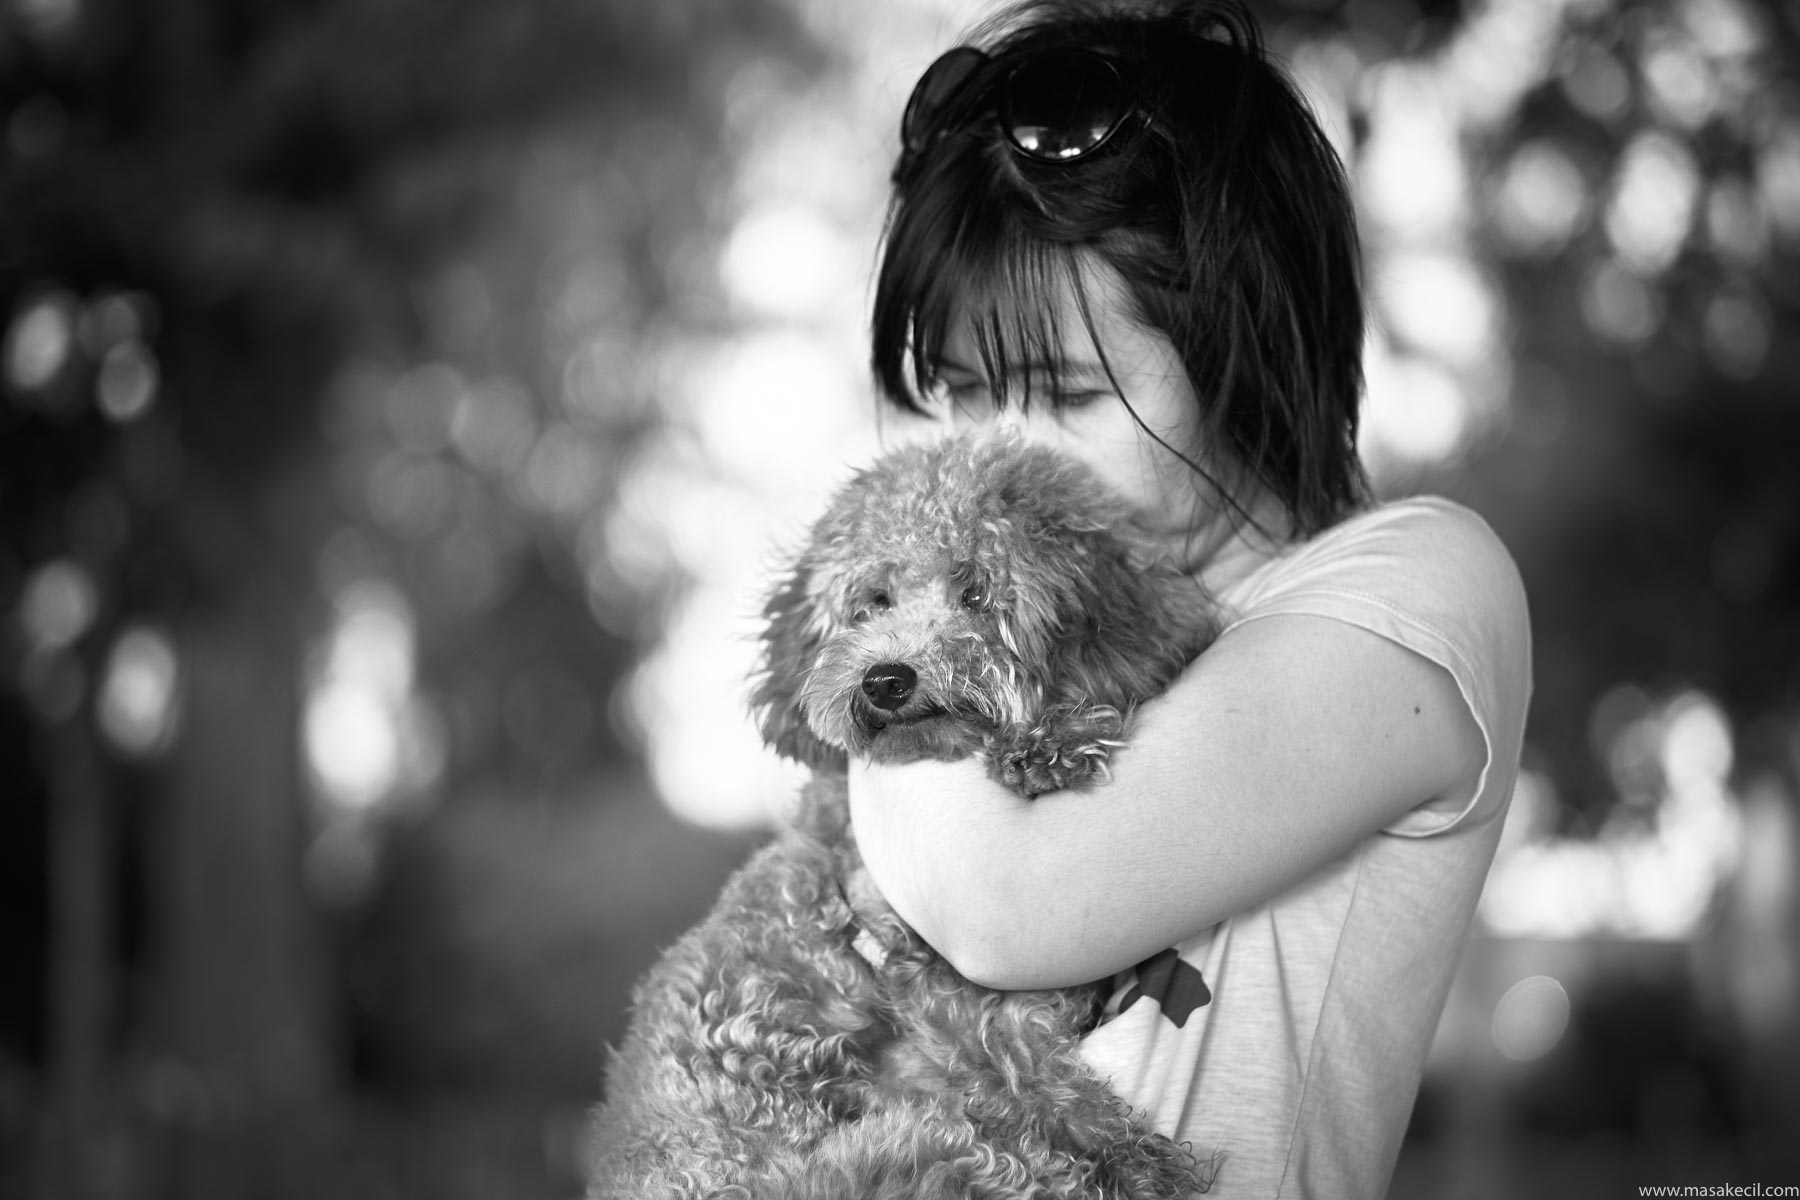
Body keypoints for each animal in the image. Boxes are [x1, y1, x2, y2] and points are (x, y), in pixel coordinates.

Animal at [597, 431, 1216, 1200]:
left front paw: (1051, 742)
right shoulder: (942, 1005)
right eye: (873, 601)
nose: (885, 680)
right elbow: (1037, 1083)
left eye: (975, 591)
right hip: (911, 1157)